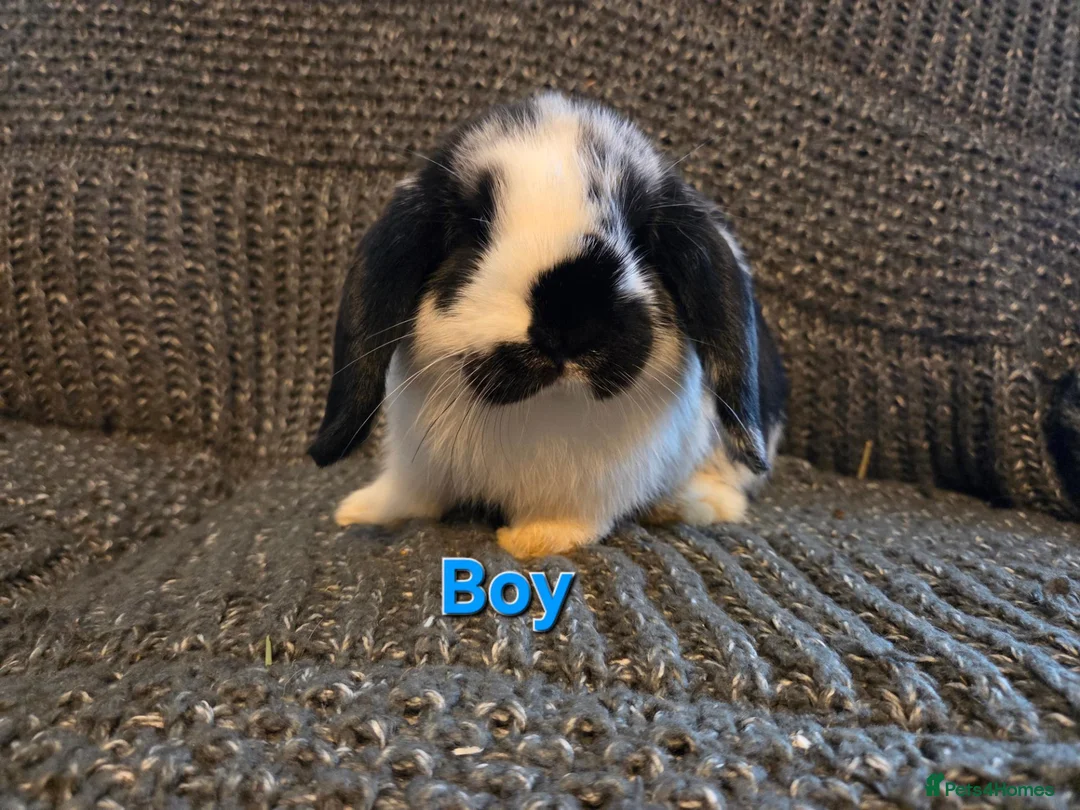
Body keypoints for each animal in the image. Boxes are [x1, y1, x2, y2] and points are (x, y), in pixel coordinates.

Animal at [309, 92, 787, 560]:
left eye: (639, 238)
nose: (568, 317)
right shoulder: (417, 462)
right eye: (473, 230)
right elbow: (411, 495)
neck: (542, 408)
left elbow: (572, 518)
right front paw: (360, 511)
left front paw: (533, 540)